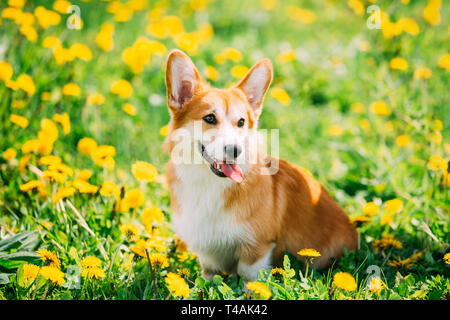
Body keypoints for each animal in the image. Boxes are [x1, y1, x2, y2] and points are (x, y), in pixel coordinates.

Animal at [163, 48, 356, 282]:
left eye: (241, 122)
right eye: (209, 118)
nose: (235, 151)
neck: (209, 184)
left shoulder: (257, 248)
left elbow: (251, 279)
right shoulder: (207, 256)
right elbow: (208, 279)